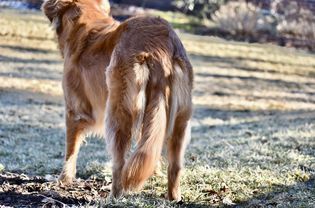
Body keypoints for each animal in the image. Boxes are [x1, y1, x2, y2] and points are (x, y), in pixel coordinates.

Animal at [42, 0, 194, 201]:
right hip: (180, 119)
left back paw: (113, 196)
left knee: (119, 163)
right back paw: (173, 197)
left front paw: (63, 179)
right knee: (173, 164)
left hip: (118, 111)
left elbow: (71, 150)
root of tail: (160, 43)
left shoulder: (74, 110)